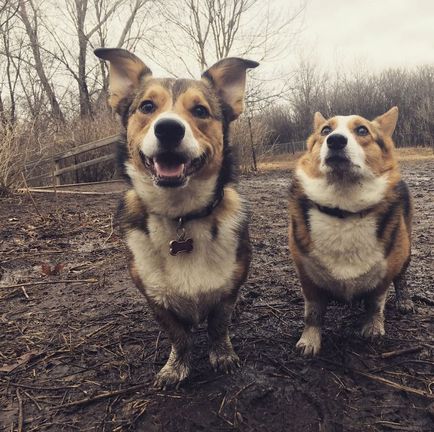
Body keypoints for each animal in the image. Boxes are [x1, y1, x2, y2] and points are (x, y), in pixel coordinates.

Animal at [94, 48, 258, 388]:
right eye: (147, 107)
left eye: (200, 110)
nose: (168, 128)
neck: (181, 214)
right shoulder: (155, 299)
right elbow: (178, 336)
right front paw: (176, 367)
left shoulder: (228, 290)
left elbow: (218, 327)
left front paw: (222, 355)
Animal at [288, 107, 414, 354]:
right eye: (325, 130)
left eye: (362, 130)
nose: (335, 140)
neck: (343, 208)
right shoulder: (307, 276)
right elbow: (313, 313)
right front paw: (309, 340)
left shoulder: (384, 273)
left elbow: (375, 303)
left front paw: (373, 327)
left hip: (406, 250)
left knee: (401, 277)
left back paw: (404, 300)